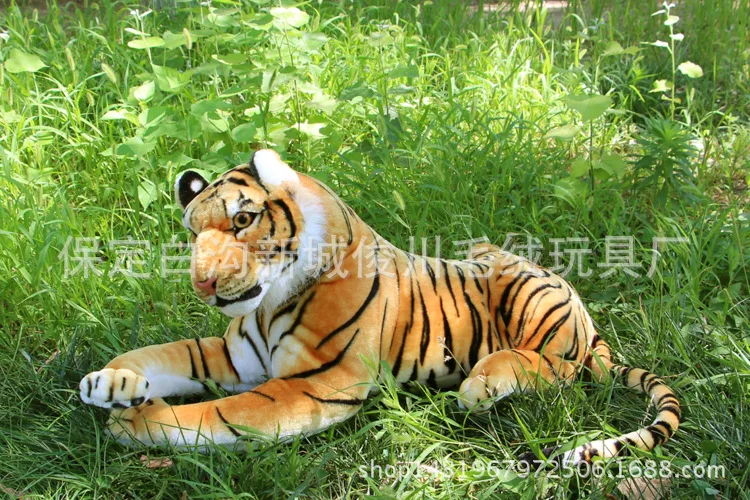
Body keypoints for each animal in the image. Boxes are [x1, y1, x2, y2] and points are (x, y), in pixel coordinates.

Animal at [79, 149, 680, 465]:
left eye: (243, 220)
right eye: (192, 232)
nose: (202, 285)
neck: (269, 303)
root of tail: (591, 322)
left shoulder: (314, 384)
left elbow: (218, 413)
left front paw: (136, 422)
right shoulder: (234, 358)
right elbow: (160, 353)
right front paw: (111, 384)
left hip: (524, 288)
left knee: (560, 368)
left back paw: (482, 384)